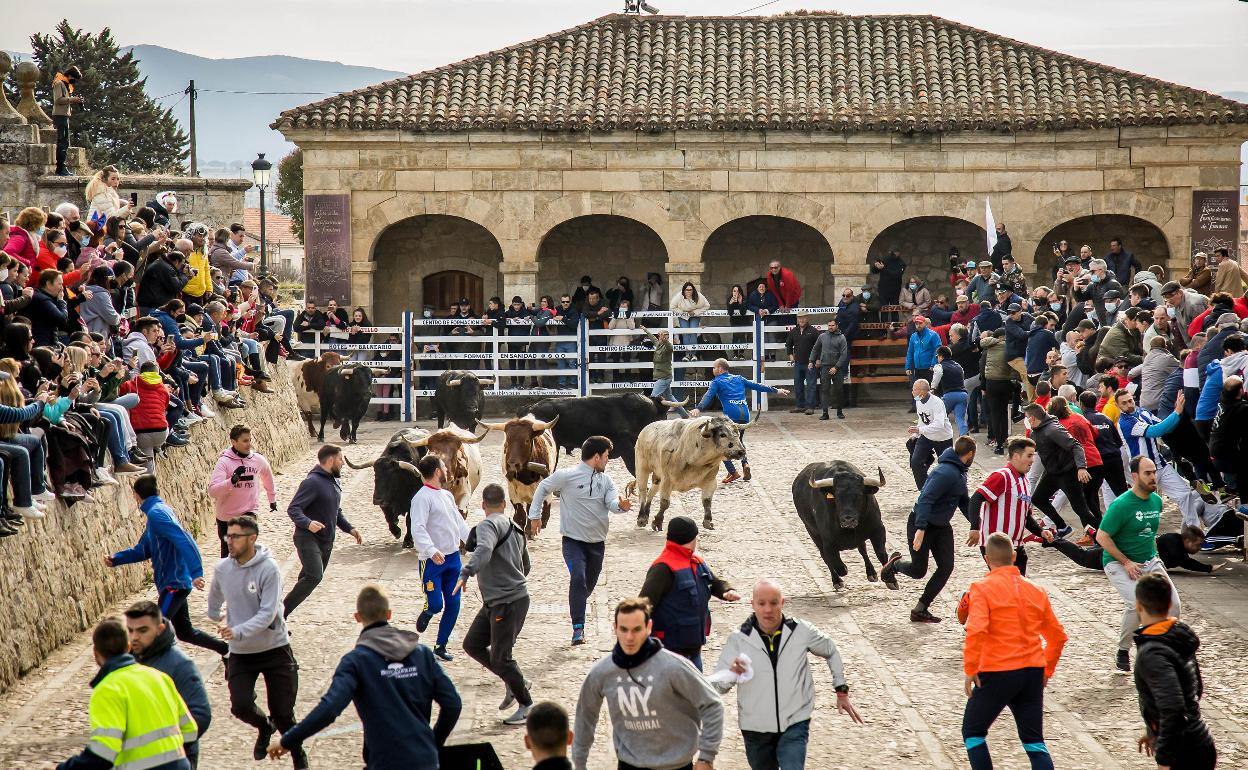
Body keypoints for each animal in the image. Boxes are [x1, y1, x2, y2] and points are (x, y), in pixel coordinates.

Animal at [788, 461, 888, 589]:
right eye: (837, 497)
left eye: (860, 496)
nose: (848, 520)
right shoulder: (828, 542)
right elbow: (836, 564)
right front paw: (843, 570)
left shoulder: (878, 529)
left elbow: (881, 554)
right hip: (813, 532)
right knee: (825, 557)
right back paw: (837, 581)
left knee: (863, 549)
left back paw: (871, 573)